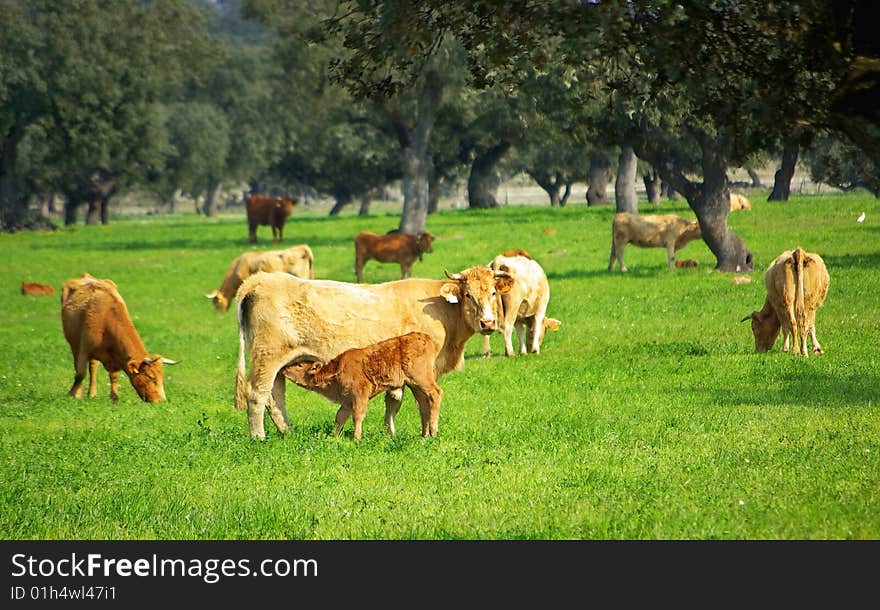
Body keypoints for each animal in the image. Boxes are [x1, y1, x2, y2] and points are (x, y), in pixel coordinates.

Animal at [60, 274, 180, 402]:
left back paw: (92, 393)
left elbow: (114, 376)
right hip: (74, 344)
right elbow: (80, 374)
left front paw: (114, 398)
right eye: (150, 377)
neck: (105, 320)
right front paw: (73, 395)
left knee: (93, 367)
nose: (161, 401)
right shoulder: (84, 350)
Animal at [234, 264, 512, 436]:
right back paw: (259, 437)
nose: (488, 323)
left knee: (275, 398)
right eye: (468, 295)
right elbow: (412, 400)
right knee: (257, 396)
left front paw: (396, 433)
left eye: (493, 292)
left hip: (281, 364)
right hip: (267, 358)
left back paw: (288, 433)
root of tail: (261, 279)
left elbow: (396, 401)